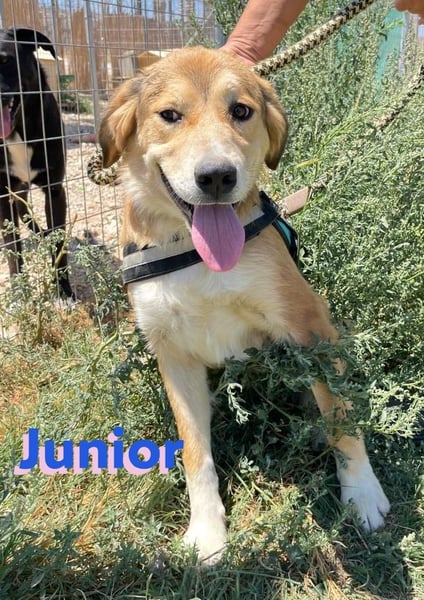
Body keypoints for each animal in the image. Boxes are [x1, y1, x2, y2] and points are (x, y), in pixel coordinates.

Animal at [0, 27, 72, 297]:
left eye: (4, 60)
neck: (19, 132)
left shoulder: (54, 190)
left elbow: (59, 244)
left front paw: (64, 290)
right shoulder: (3, 197)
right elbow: (13, 250)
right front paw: (20, 292)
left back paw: (42, 233)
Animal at [99, 47, 390, 563]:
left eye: (241, 111)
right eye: (169, 115)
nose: (216, 176)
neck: (195, 254)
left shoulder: (309, 324)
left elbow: (340, 418)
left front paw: (362, 493)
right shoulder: (174, 355)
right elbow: (195, 450)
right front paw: (207, 532)